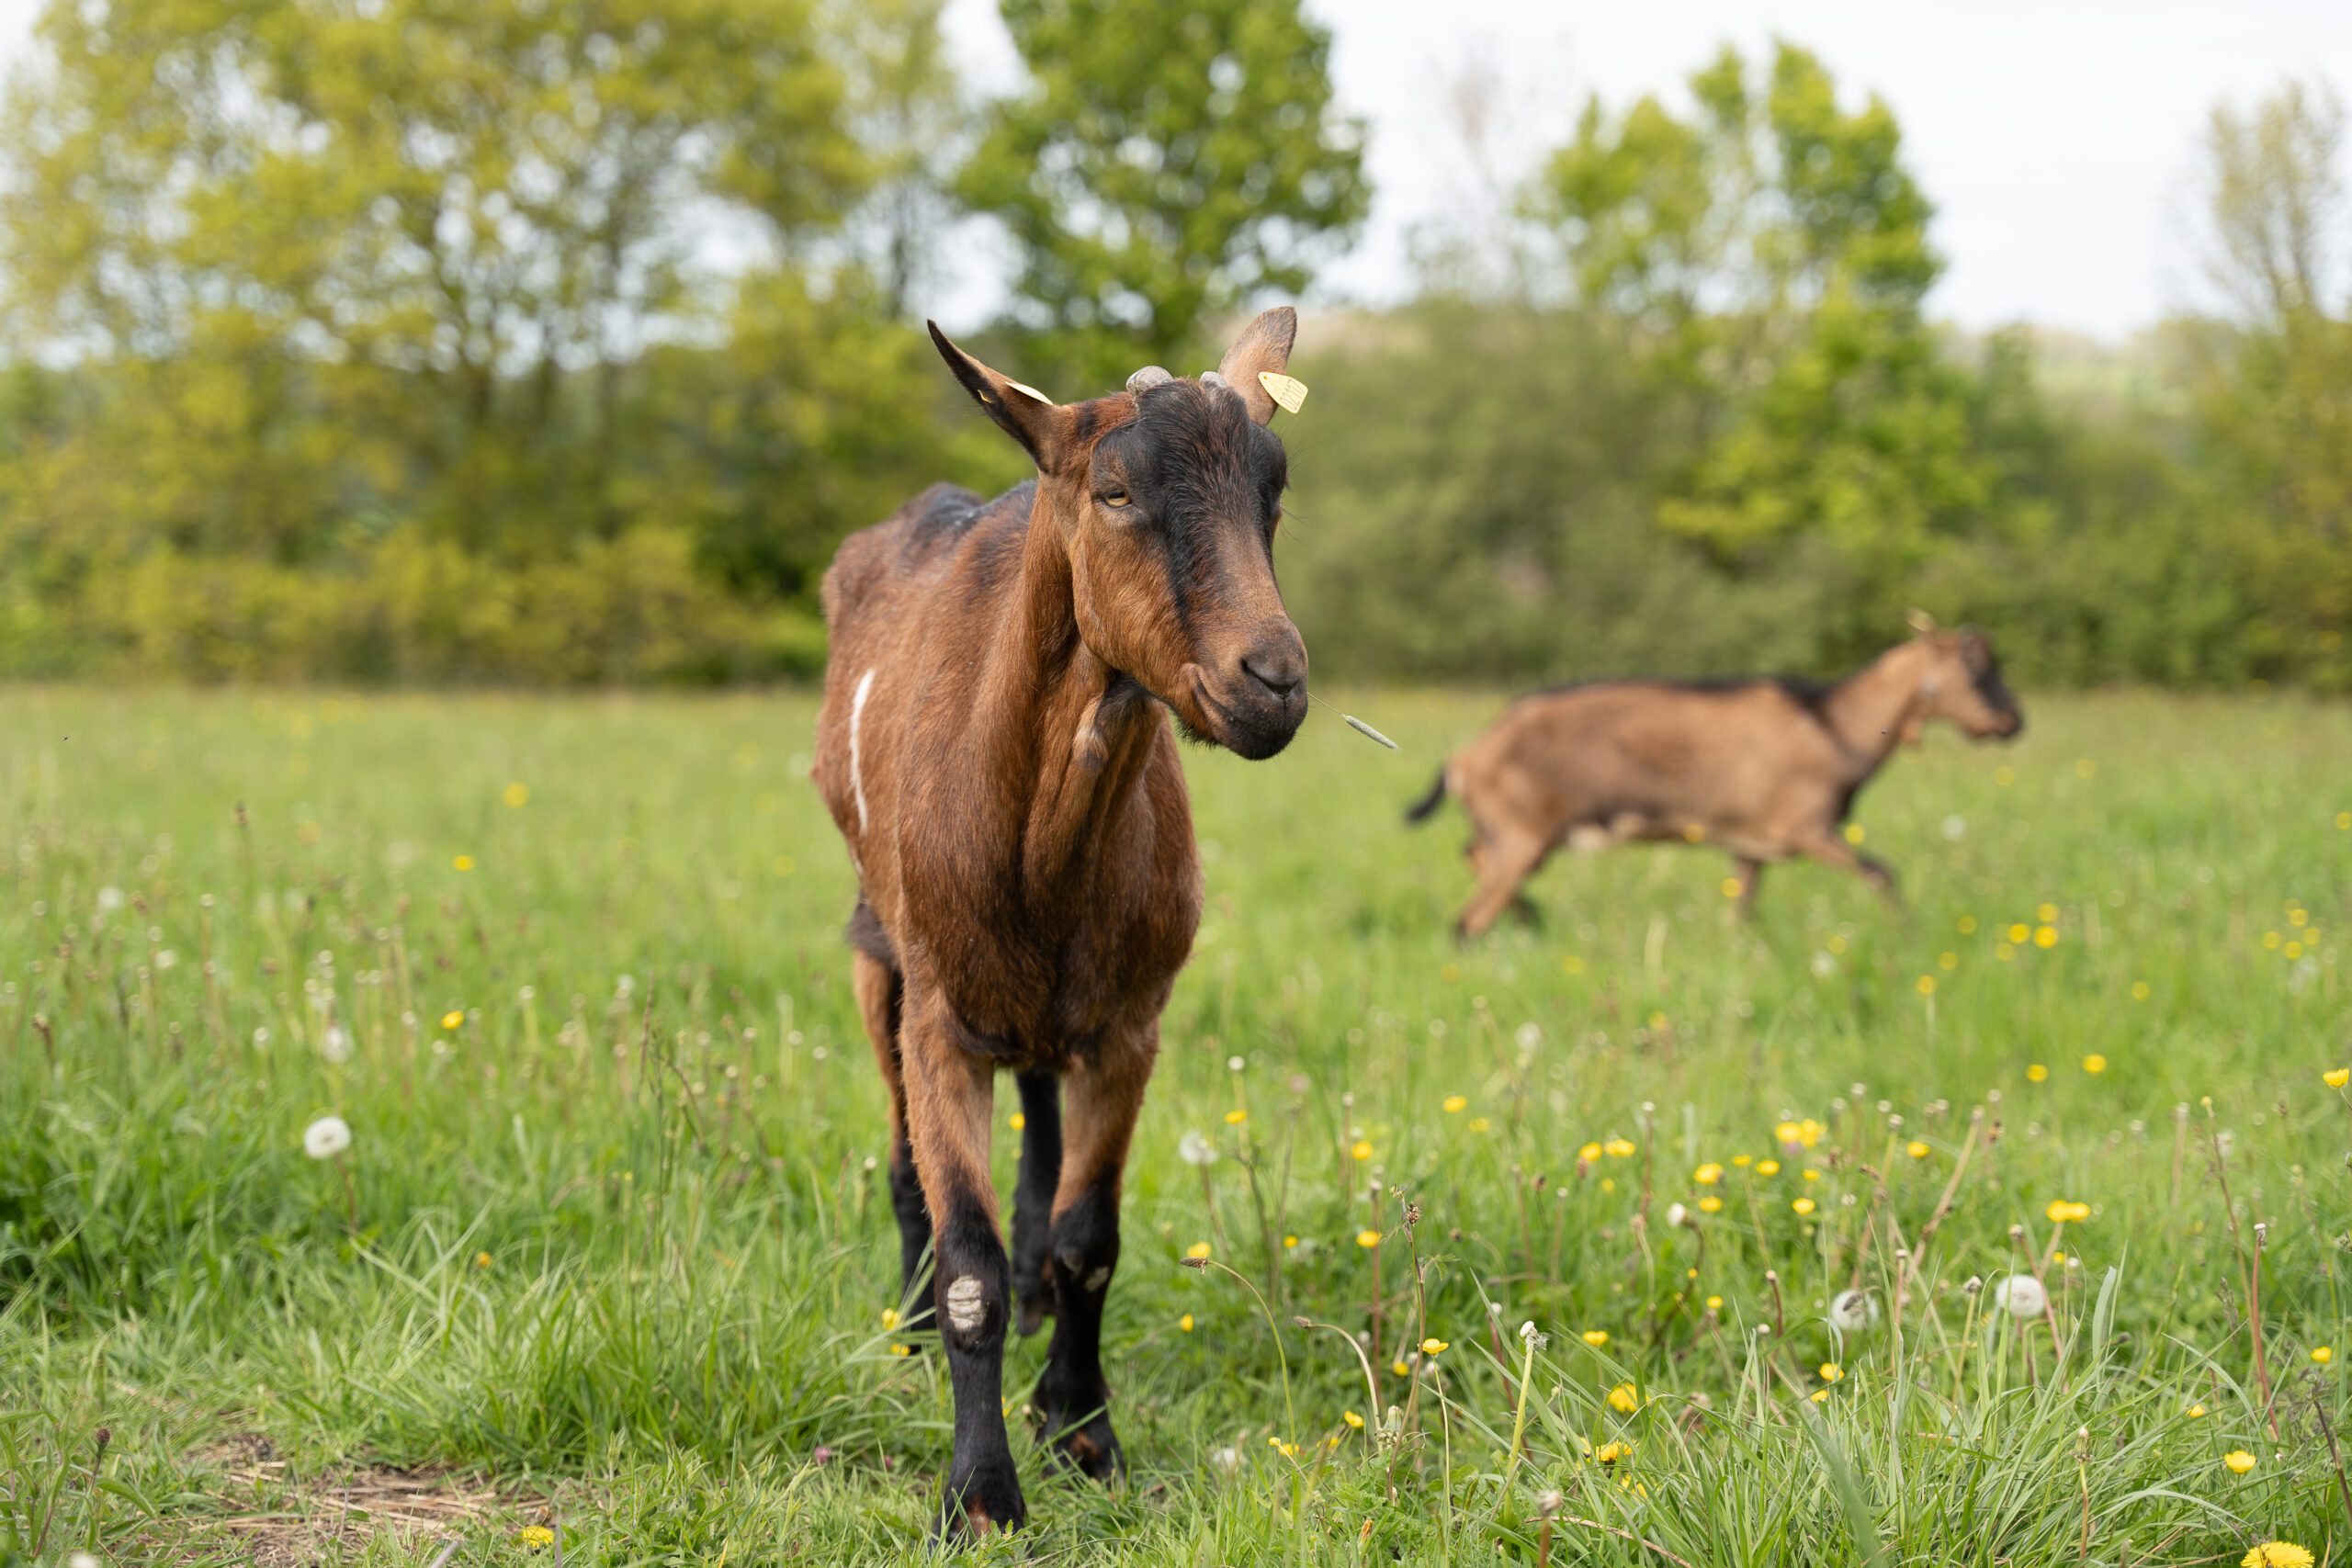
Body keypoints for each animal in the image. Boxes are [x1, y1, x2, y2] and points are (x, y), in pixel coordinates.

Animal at [818, 312, 1317, 1541]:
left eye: (1274, 491)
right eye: (1115, 490)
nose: (1273, 680)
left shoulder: (1129, 1024)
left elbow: (1093, 1240)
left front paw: (1082, 1433)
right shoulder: (941, 1019)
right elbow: (970, 1266)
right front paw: (980, 1496)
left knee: (1039, 1116)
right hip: (876, 949)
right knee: (901, 1154)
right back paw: (905, 1325)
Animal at [1401, 620, 2031, 940]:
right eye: (1975, 667)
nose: (2012, 720)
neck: (1834, 724)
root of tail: (1465, 758)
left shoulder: (1750, 845)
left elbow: (1742, 912)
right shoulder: (1806, 827)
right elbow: (1883, 873)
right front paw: (1907, 936)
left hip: (1511, 834)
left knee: (1477, 864)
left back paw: (1531, 919)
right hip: (1524, 834)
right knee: (1468, 918)